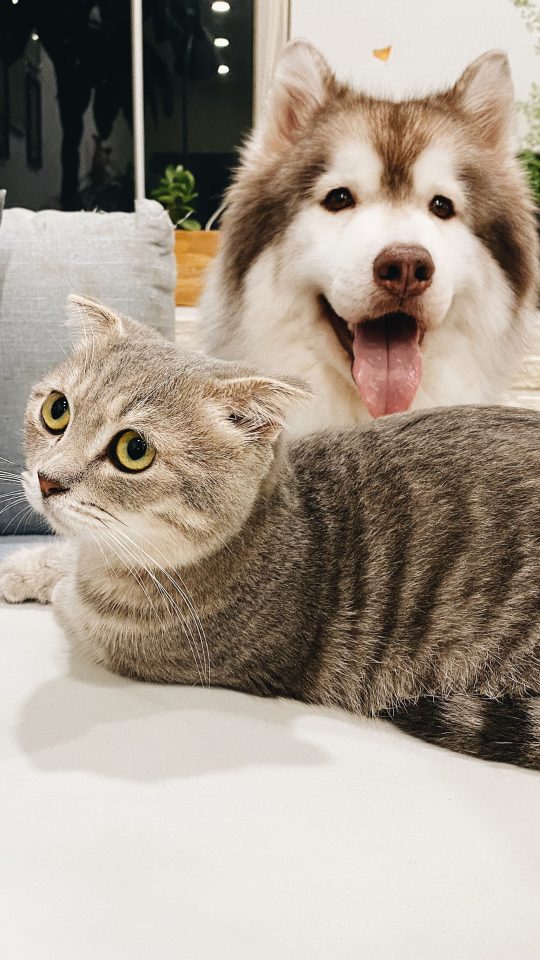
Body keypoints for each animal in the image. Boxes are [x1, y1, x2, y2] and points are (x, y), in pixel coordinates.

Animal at [1, 296, 540, 768]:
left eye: (134, 450)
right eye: (57, 410)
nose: (47, 479)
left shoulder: (130, 646)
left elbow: (72, 596)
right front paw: (23, 568)